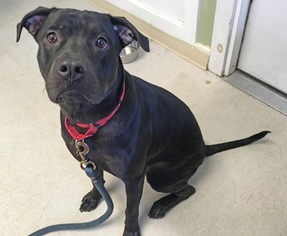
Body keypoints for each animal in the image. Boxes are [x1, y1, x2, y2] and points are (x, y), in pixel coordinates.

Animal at [16, 7, 270, 236]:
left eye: (101, 42)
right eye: (51, 37)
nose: (71, 68)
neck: (90, 121)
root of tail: (203, 147)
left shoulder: (134, 179)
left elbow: (130, 209)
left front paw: (130, 231)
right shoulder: (89, 161)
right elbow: (97, 180)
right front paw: (94, 197)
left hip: (159, 176)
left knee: (188, 189)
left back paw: (161, 205)